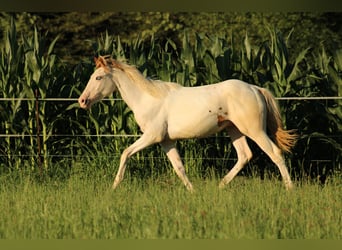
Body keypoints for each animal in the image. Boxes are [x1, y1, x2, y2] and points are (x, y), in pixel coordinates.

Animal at [78, 55, 296, 191]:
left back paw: (289, 189)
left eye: (98, 77)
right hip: (234, 130)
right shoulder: (166, 141)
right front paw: (193, 192)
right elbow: (179, 168)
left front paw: (113, 187)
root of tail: (255, 88)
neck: (148, 99)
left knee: (275, 153)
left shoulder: (151, 137)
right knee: (245, 155)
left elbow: (125, 153)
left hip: (254, 130)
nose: (82, 101)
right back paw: (220, 186)